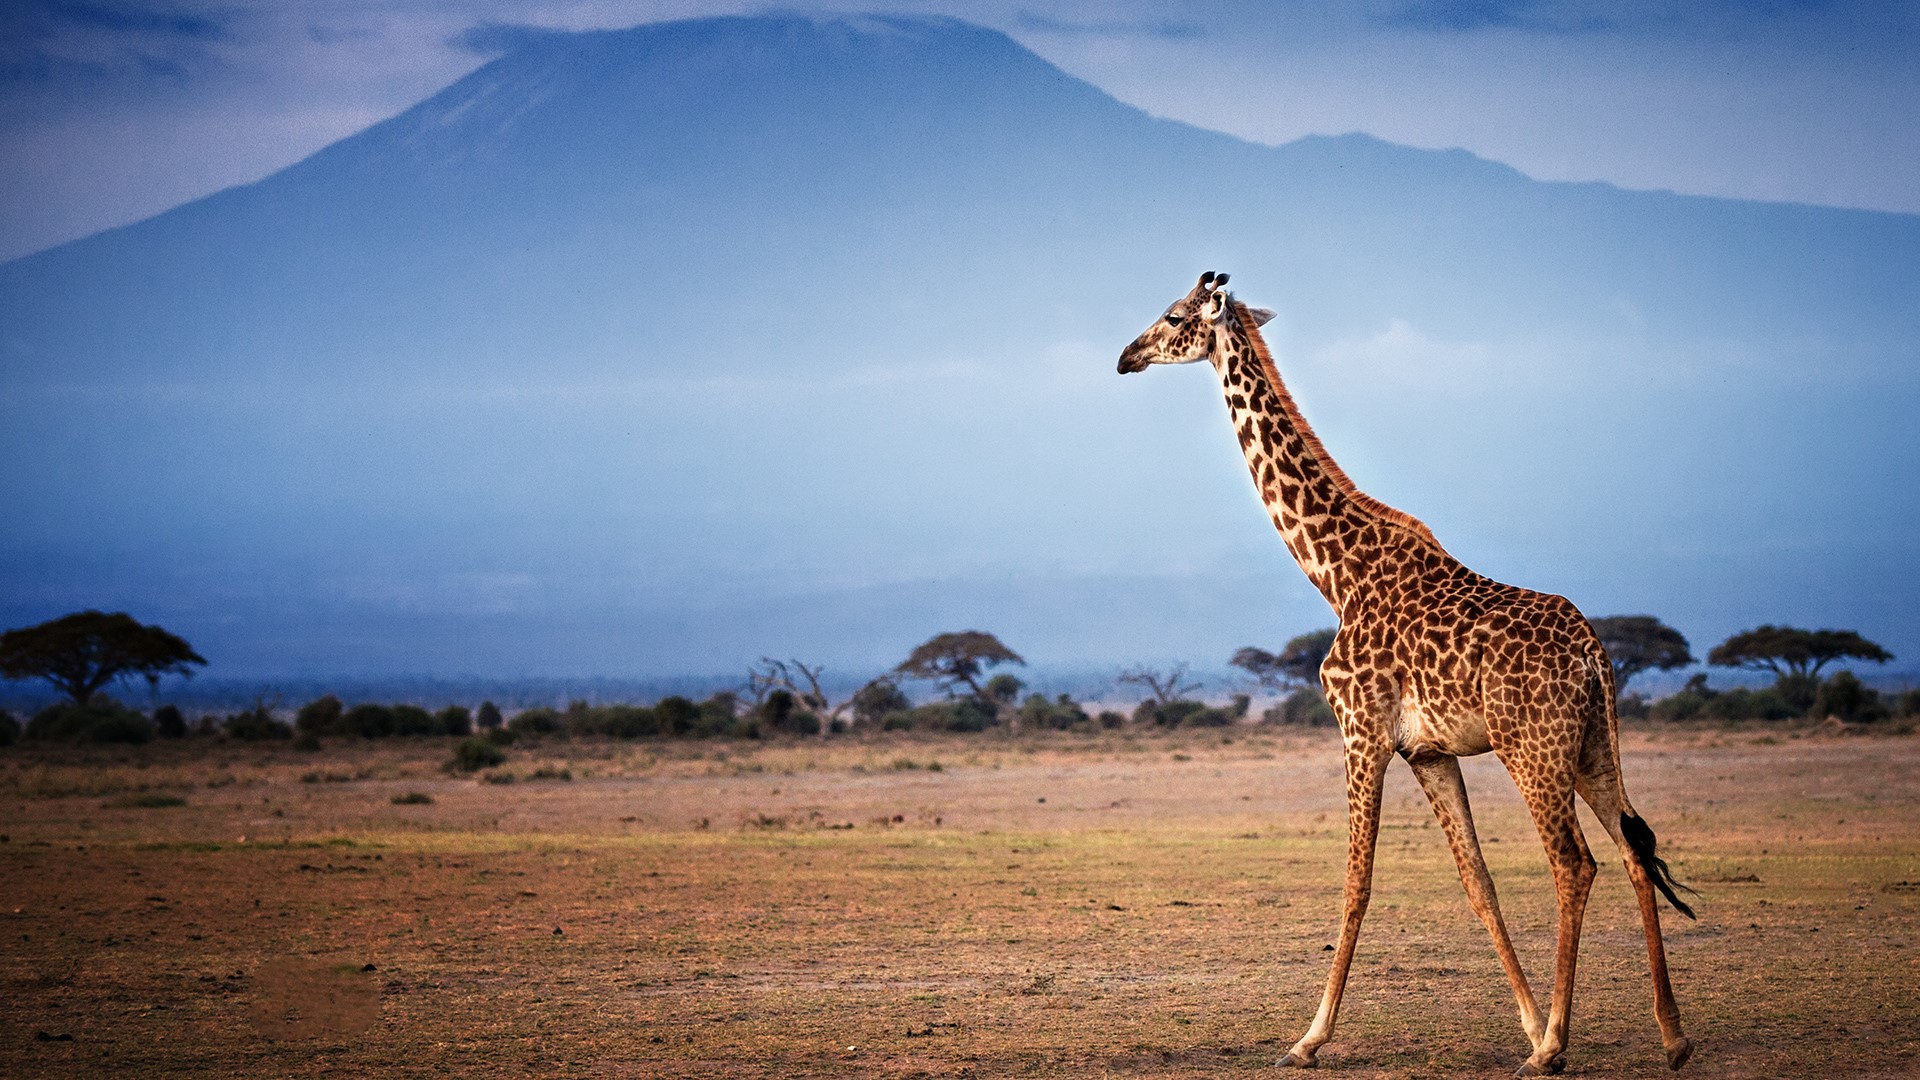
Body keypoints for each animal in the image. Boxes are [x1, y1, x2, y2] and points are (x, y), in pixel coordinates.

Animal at [1117, 272, 1696, 1075]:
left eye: (1174, 317)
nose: (1126, 356)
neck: (1334, 573)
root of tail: (1593, 653)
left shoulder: (1359, 732)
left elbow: (1355, 884)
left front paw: (1309, 1038)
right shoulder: (1426, 751)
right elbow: (1477, 882)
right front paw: (1524, 1020)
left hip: (1533, 750)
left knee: (1575, 865)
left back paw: (1555, 1046)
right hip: (1592, 747)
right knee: (1636, 852)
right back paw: (1671, 1036)